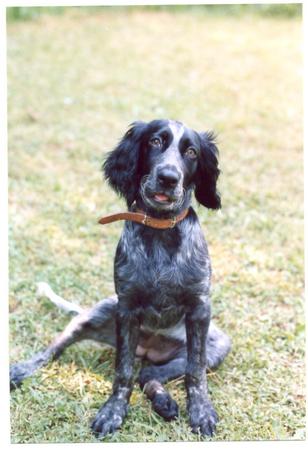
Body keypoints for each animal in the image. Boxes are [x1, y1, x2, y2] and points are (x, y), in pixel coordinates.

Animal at [9, 120, 231, 440]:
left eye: (191, 152)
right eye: (155, 141)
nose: (168, 178)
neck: (160, 231)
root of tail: (148, 348)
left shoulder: (200, 309)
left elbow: (196, 371)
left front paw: (200, 411)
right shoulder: (126, 309)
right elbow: (123, 371)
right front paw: (113, 411)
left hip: (217, 344)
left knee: (149, 374)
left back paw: (164, 403)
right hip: (96, 314)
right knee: (52, 352)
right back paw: (21, 369)